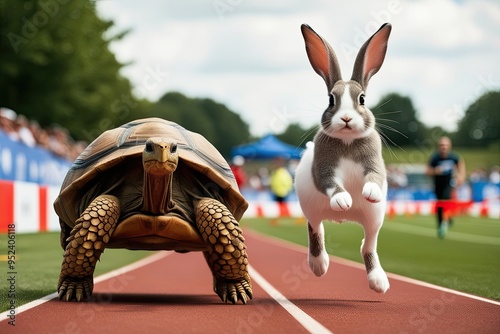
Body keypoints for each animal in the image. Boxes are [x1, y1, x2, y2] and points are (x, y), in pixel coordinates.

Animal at [294, 22, 392, 292]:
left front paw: (370, 192)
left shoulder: (374, 163)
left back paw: (379, 282)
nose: (346, 118)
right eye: (331, 99)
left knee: (368, 246)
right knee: (315, 230)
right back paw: (319, 265)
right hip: (311, 209)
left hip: (374, 219)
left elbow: (374, 176)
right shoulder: (324, 170)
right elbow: (330, 182)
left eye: (362, 99)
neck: (347, 142)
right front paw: (343, 199)